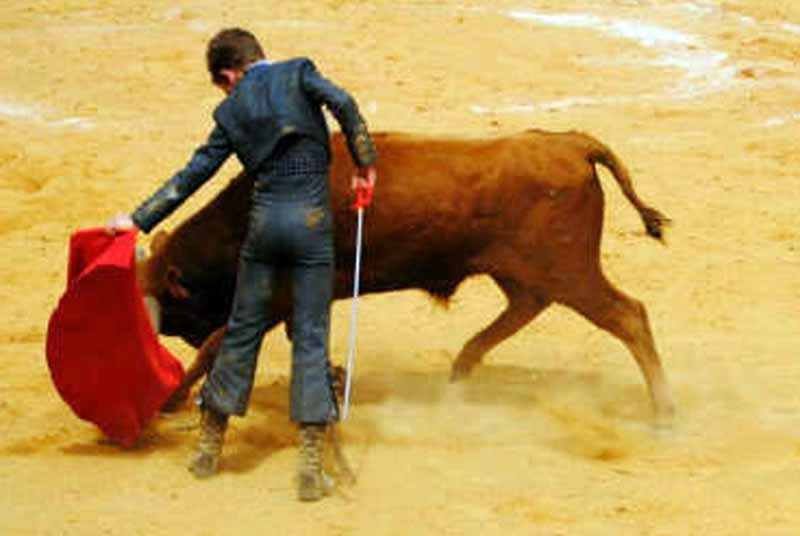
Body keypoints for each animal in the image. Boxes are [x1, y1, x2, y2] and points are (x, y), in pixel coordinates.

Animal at [139, 129, 676, 422]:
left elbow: (217, 345)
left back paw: (664, 413)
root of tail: (572, 144)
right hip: (527, 270)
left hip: (569, 271)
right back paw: (461, 369)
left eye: (169, 303)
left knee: (629, 316)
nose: (167, 334)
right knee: (527, 306)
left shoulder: (278, 296)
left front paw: (170, 397)